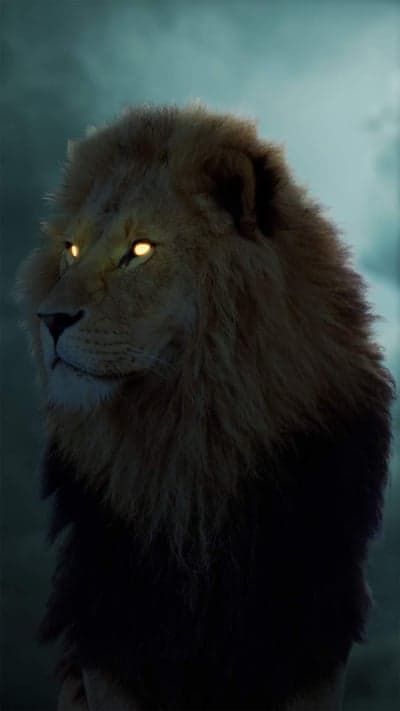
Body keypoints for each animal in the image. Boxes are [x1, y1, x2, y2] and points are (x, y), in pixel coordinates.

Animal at [15, 102, 395, 710]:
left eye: (139, 251)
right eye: (70, 250)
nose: (48, 319)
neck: (194, 428)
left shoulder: (310, 629)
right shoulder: (109, 623)